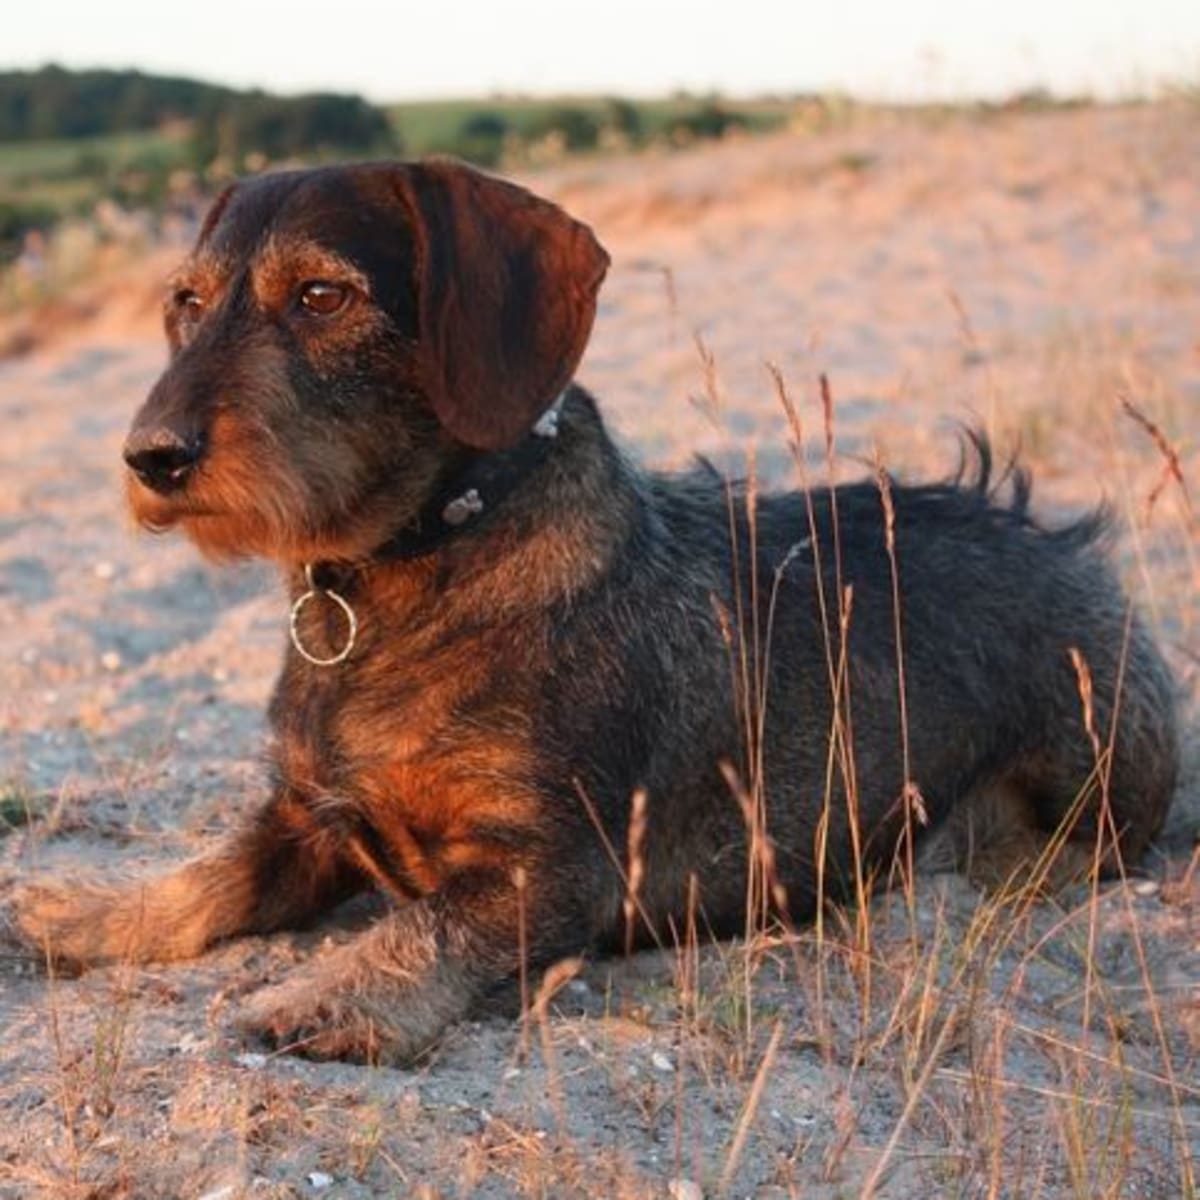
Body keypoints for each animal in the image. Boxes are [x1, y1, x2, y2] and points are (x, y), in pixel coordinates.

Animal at [9, 157, 1176, 1060]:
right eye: (187, 301)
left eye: (322, 297)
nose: (150, 457)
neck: (415, 565)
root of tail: (1079, 558)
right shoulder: (306, 817)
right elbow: (212, 876)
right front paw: (85, 910)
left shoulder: (557, 870)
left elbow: (423, 929)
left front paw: (325, 994)